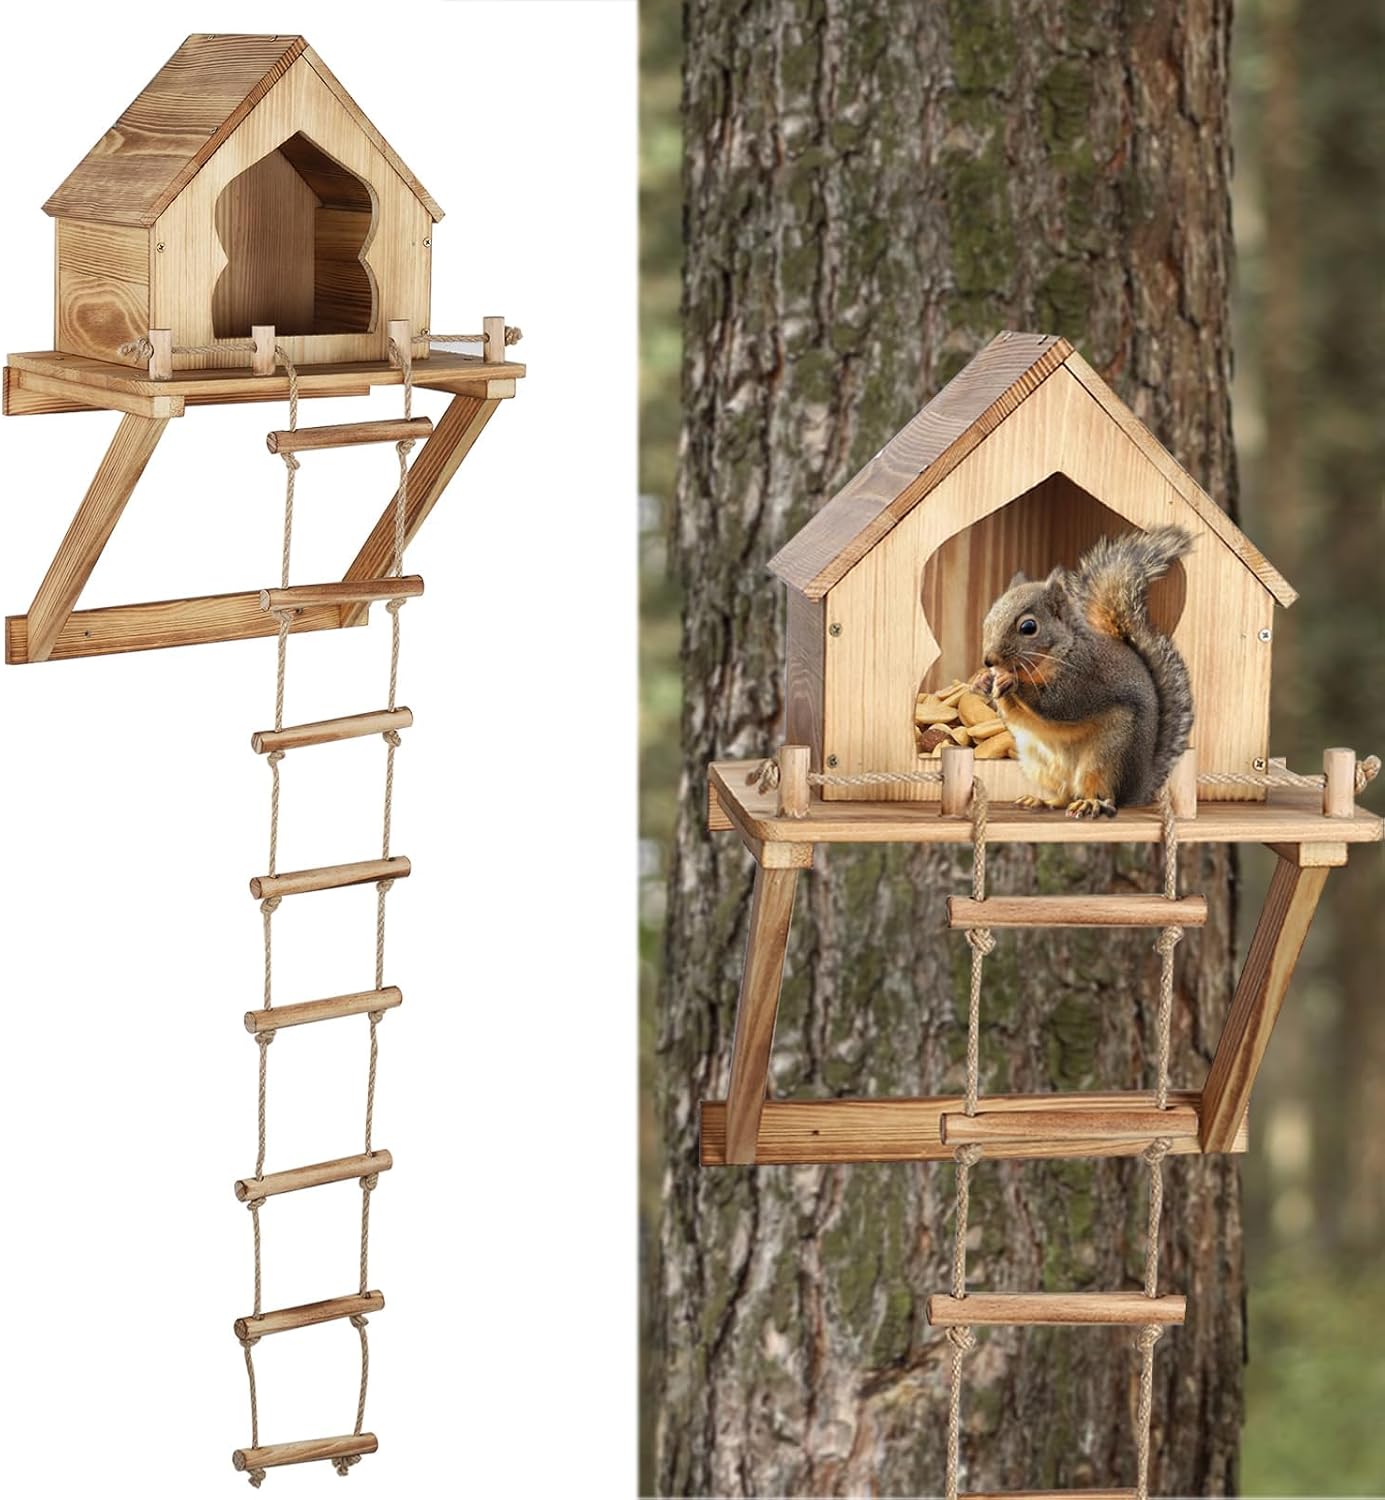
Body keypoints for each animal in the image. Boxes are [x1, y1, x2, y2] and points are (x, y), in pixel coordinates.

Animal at [978, 525, 1195, 818]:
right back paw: (1042, 801)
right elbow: (1013, 717)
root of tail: (1139, 789)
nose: (989, 660)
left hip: (1109, 756)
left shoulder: (1085, 677)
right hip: (1039, 764)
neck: (1060, 650)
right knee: (1064, 794)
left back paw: (1091, 803)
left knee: (1106, 795)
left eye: (1028, 627)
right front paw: (983, 683)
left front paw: (1014, 684)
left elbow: (1058, 704)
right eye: (988, 618)